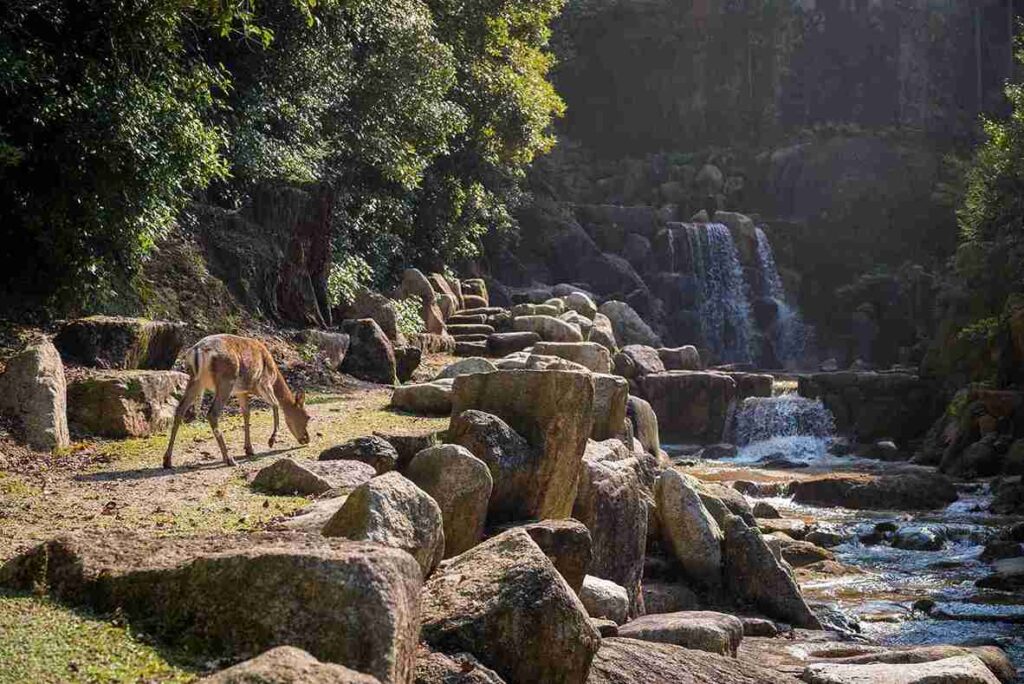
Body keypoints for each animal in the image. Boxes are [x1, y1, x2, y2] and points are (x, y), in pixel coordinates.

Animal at [163, 334, 312, 469]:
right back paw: (229, 459)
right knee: (212, 413)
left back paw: (167, 461)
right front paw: (271, 440)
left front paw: (249, 449)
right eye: (307, 417)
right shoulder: (264, 382)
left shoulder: (241, 391)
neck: (275, 375)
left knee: (180, 409)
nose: (306, 439)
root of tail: (197, 352)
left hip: (196, 380)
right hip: (226, 380)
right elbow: (275, 404)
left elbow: (246, 414)